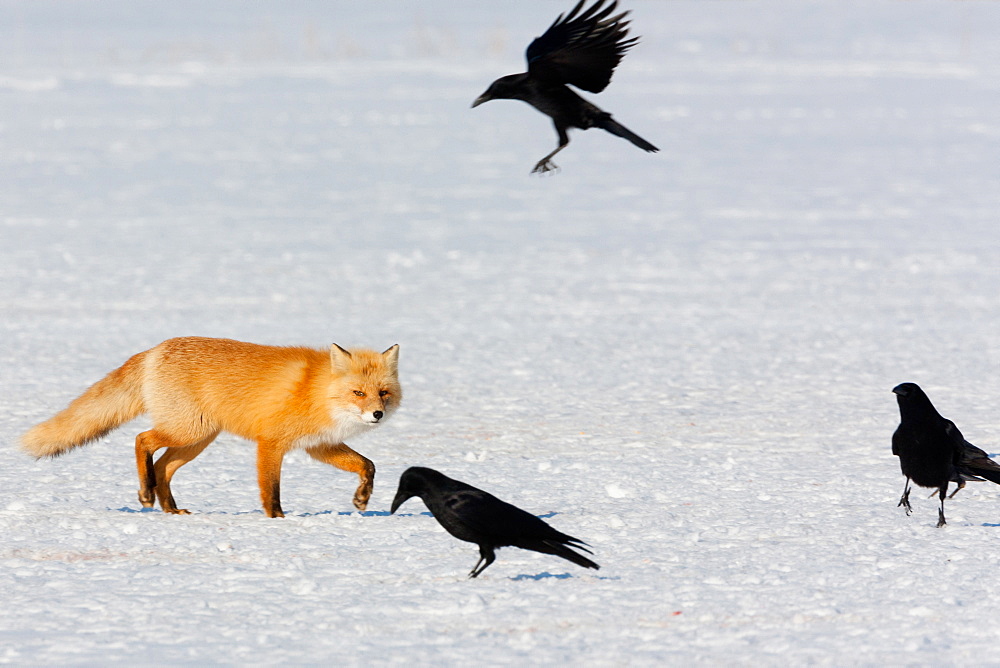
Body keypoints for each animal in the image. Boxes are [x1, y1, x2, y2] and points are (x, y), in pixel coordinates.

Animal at [20, 336, 402, 520]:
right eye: (358, 393)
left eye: (383, 393)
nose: (377, 415)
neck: (317, 391)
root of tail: (156, 348)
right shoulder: (271, 443)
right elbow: (271, 489)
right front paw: (278, 519)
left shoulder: (319, 445)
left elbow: (368, 466)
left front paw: (362, 497)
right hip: (187, 431)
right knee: (142, 440)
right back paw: (145, 494)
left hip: (196, 440)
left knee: (163, 467)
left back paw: (170, 509)